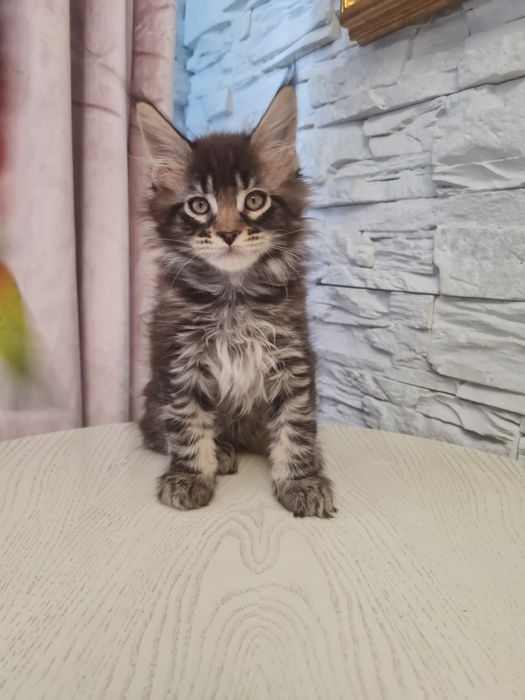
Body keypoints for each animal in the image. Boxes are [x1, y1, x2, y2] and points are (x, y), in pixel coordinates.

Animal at [136, 81, 335, 518]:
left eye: (255, 200)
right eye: (198, 206)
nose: (228, 233)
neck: (234, 294)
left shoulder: (292, 356)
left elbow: (297, 425)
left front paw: (302, 480)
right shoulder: (178, 360)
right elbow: (186, 423)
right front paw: (190, 477)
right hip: (151, 398)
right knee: (159, 429)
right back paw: (222, 450)